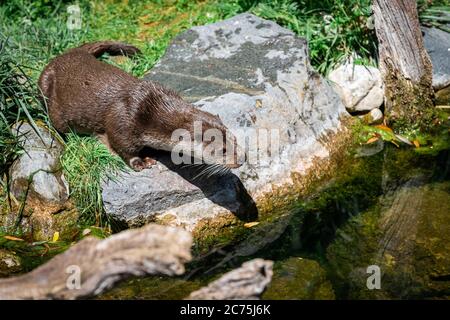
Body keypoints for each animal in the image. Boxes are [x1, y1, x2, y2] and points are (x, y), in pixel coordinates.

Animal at [38, 41, 244, 171]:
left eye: (235, 139)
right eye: (223, 150)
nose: (242, 159)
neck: (152, 109)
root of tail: (72, 52)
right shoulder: (123, 119)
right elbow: (122, 145)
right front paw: (140, 162)